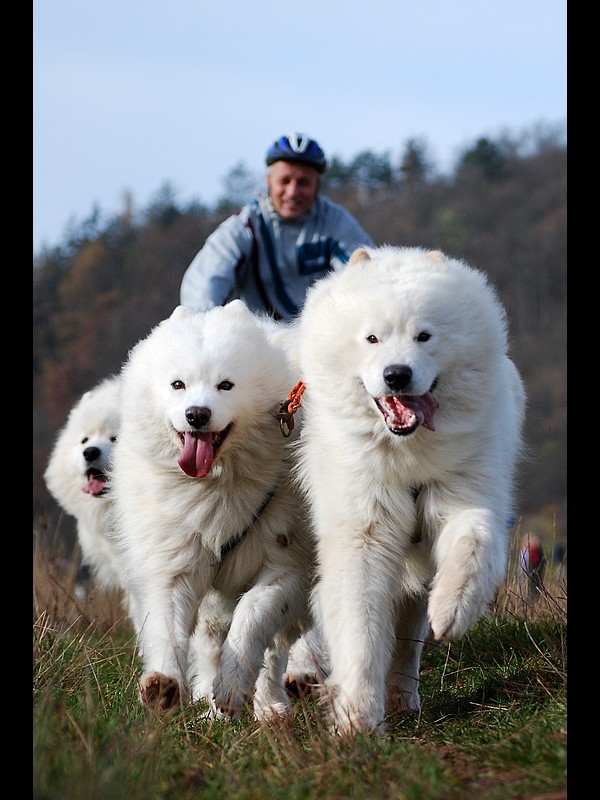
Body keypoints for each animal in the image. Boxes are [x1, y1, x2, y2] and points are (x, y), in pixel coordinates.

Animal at [109, 304, 314, 720]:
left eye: (226, 385)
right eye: (178, 385)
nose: (197, 414)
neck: (216, 487)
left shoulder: (287, 566)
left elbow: (252, 620)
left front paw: (234, 686)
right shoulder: (175, 561)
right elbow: (169, 628)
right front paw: (165, 686)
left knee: (275, 650)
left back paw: (270, 708)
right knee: (209, 638)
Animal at [290, 247, 524, 736]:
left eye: (424, 336)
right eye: (372, 338)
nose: (397, 375)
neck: (406, 455)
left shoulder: (464, 497)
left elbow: (473, 546)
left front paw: (453, 609)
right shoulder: (364, 534)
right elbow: (359, 629)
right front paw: (357, 718)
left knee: (405, 639)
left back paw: (403, 697)